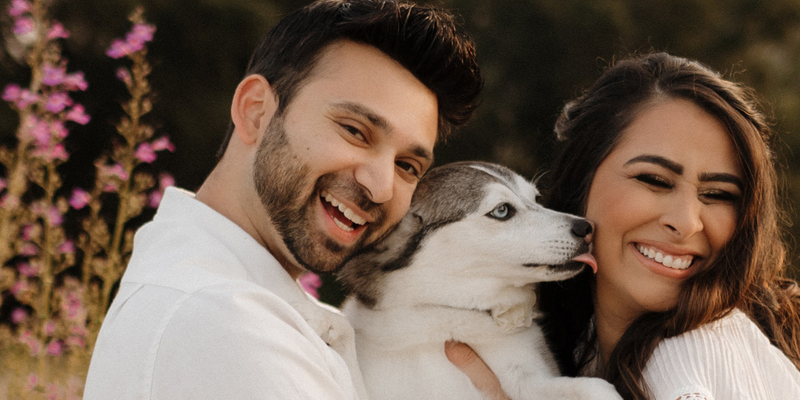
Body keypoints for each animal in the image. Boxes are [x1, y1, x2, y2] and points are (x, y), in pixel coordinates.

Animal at [338, 161, 620, 398]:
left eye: (537, 199)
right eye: (502, 211)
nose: (587, 228)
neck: (450, 312)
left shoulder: (525, 377)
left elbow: (592, 386)